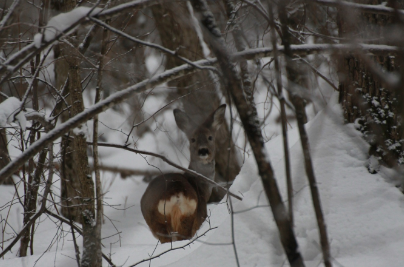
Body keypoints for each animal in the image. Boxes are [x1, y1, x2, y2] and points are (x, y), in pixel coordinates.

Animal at [140, 105, 226, 245]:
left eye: (210, 137)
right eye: (193, 139)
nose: (203, 150)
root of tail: (176, 193)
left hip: (162, 220)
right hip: (186, 215)